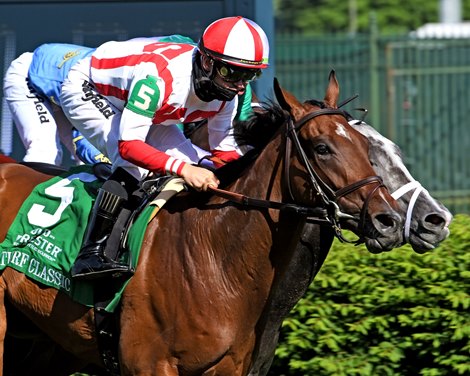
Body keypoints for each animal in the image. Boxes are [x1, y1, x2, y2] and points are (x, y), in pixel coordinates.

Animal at [0, 72, 404, 374]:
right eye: (322, 148)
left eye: (364, 147)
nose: (390, 220)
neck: (215, 259)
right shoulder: (148, 365)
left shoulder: (230, 367)